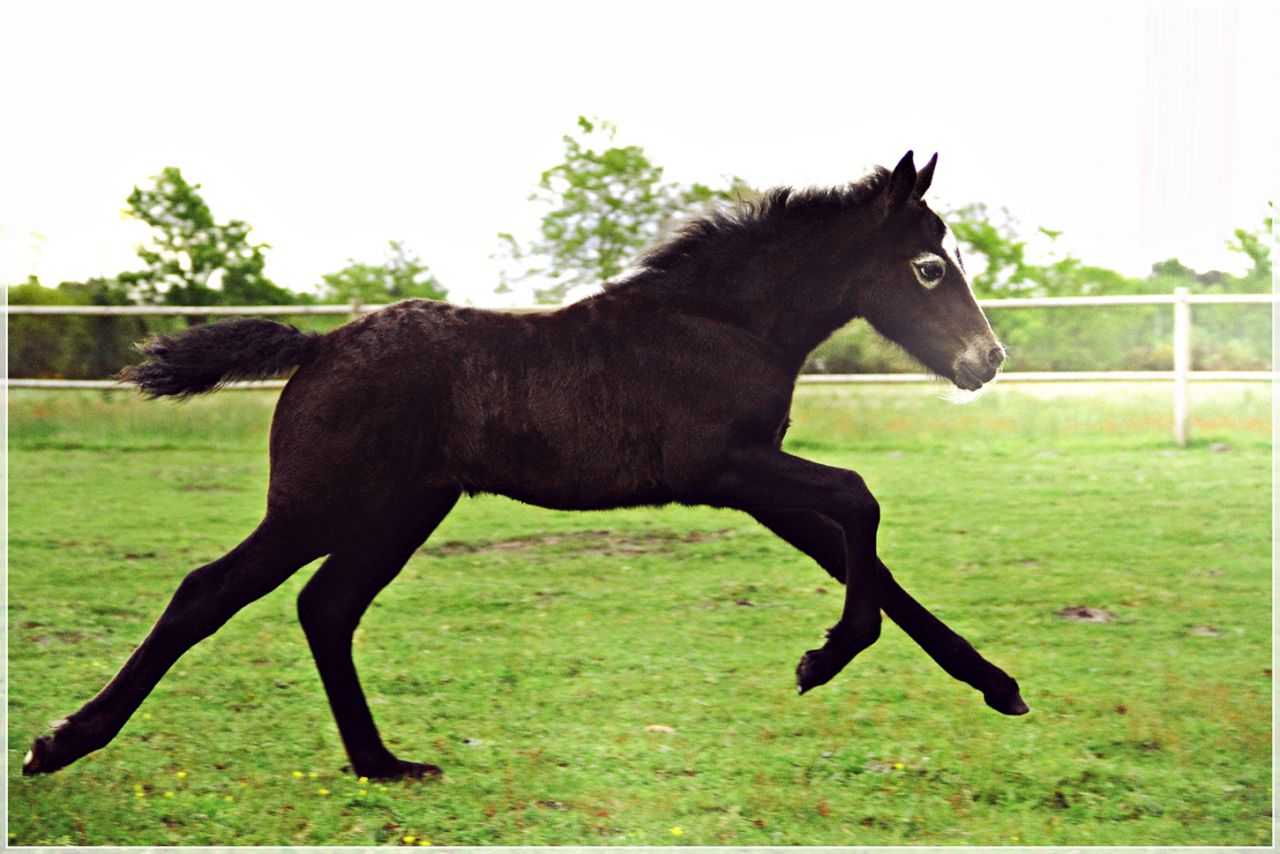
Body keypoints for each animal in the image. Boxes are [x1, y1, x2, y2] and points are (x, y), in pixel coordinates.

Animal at [23, 151, 1026, 781]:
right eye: (929, 268)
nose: (987, 361)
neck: (722, 323)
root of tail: (318, 347)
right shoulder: (730, 469)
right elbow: (861, 505)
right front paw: (824, 660)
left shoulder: (755, 483)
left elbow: (867, 560)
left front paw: (995, 684)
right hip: (319, 506)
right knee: (209, 591)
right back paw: (62, 744)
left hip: (398, 513)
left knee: (325, 607)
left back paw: (384, 766)